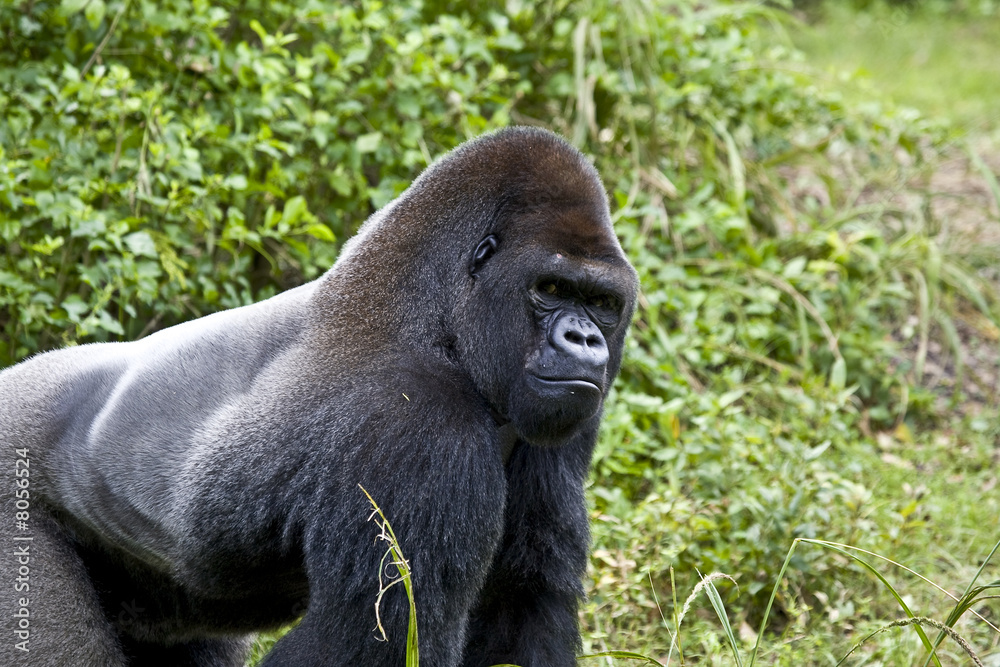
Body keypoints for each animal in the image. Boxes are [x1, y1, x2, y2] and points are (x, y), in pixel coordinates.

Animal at [0, 126, 638, 666]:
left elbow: (521, 601)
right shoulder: (418, 426)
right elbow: (368, 639)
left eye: (602, 303)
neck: (441, 323)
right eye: (550, 288)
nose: (584, 340)